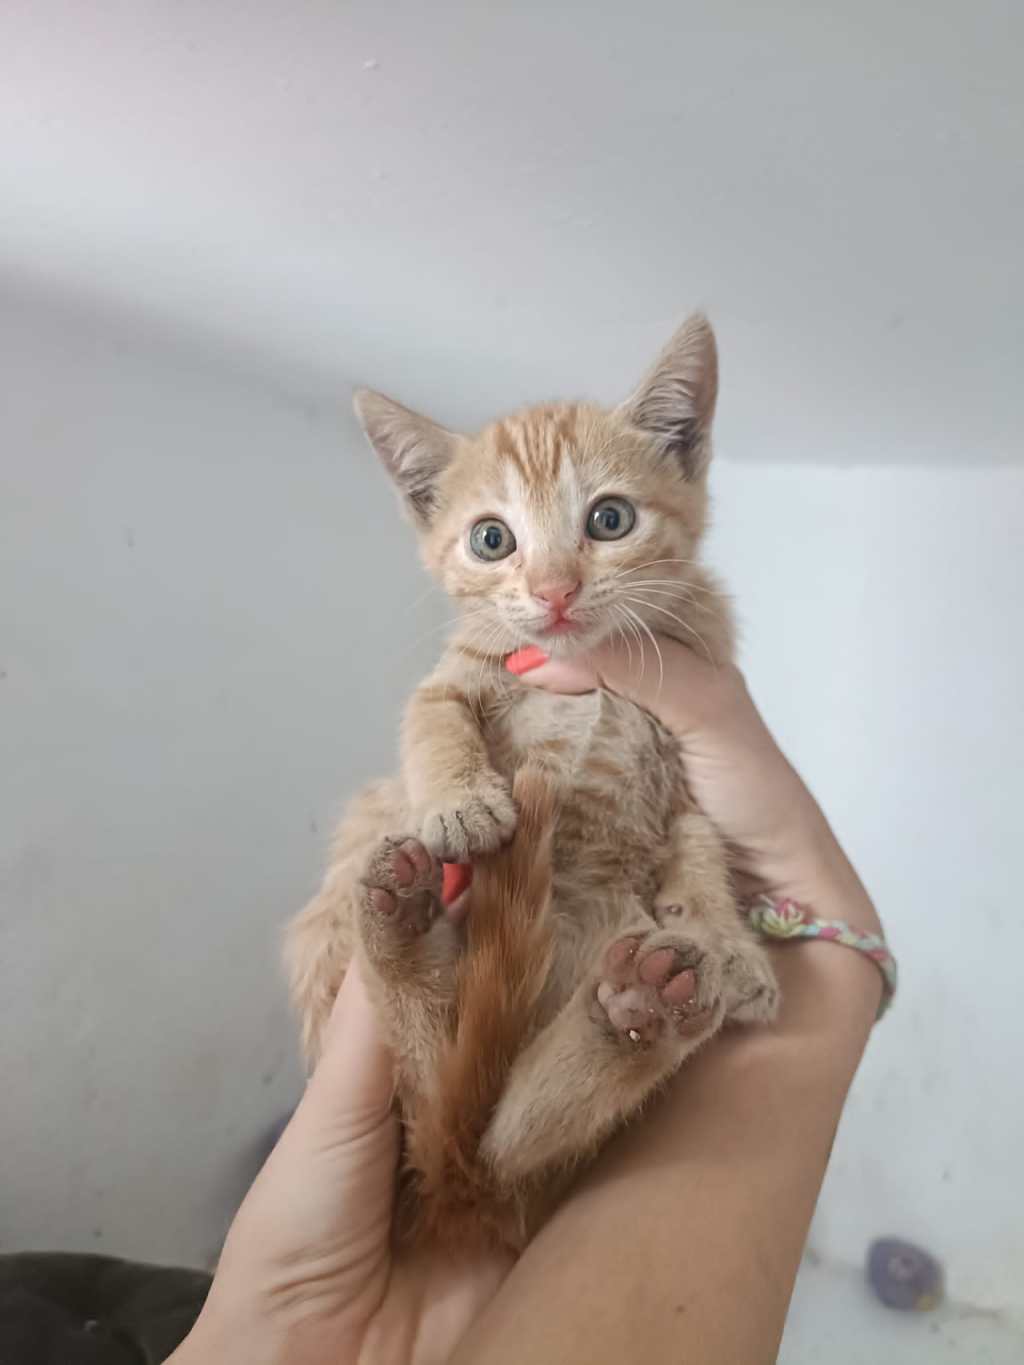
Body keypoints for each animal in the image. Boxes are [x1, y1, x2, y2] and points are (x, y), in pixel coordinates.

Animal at [285, 314, 779, 1249]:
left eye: (610, 519)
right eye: (492, 539)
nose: (553, 591)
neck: (583, 677)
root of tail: (451, 1190)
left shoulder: (691, 762)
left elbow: (699, 842)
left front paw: (731, 943)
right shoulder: (453, 677)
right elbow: (434, 721)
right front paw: (459, 801)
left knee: (511, 1136)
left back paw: (633, 1015)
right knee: (432, 1073)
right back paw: (399, 931)